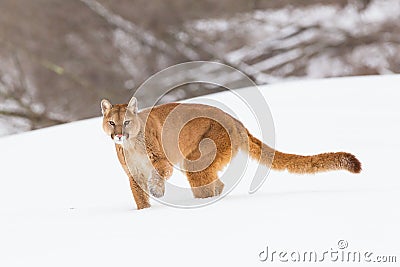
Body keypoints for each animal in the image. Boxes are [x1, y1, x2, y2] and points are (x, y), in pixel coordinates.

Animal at [101, 97, 360, 210]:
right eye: (112, 123)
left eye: (126, 122)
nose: (119, 135)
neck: (132, 145)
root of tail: (236, 120)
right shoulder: (133, 173)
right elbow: (139, 197)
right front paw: (143, 214)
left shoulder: (162, 161)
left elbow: (157, 175)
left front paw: (156, 190)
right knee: (216, 184)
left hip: (196, 159)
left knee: (210, 186)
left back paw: (206, 203)